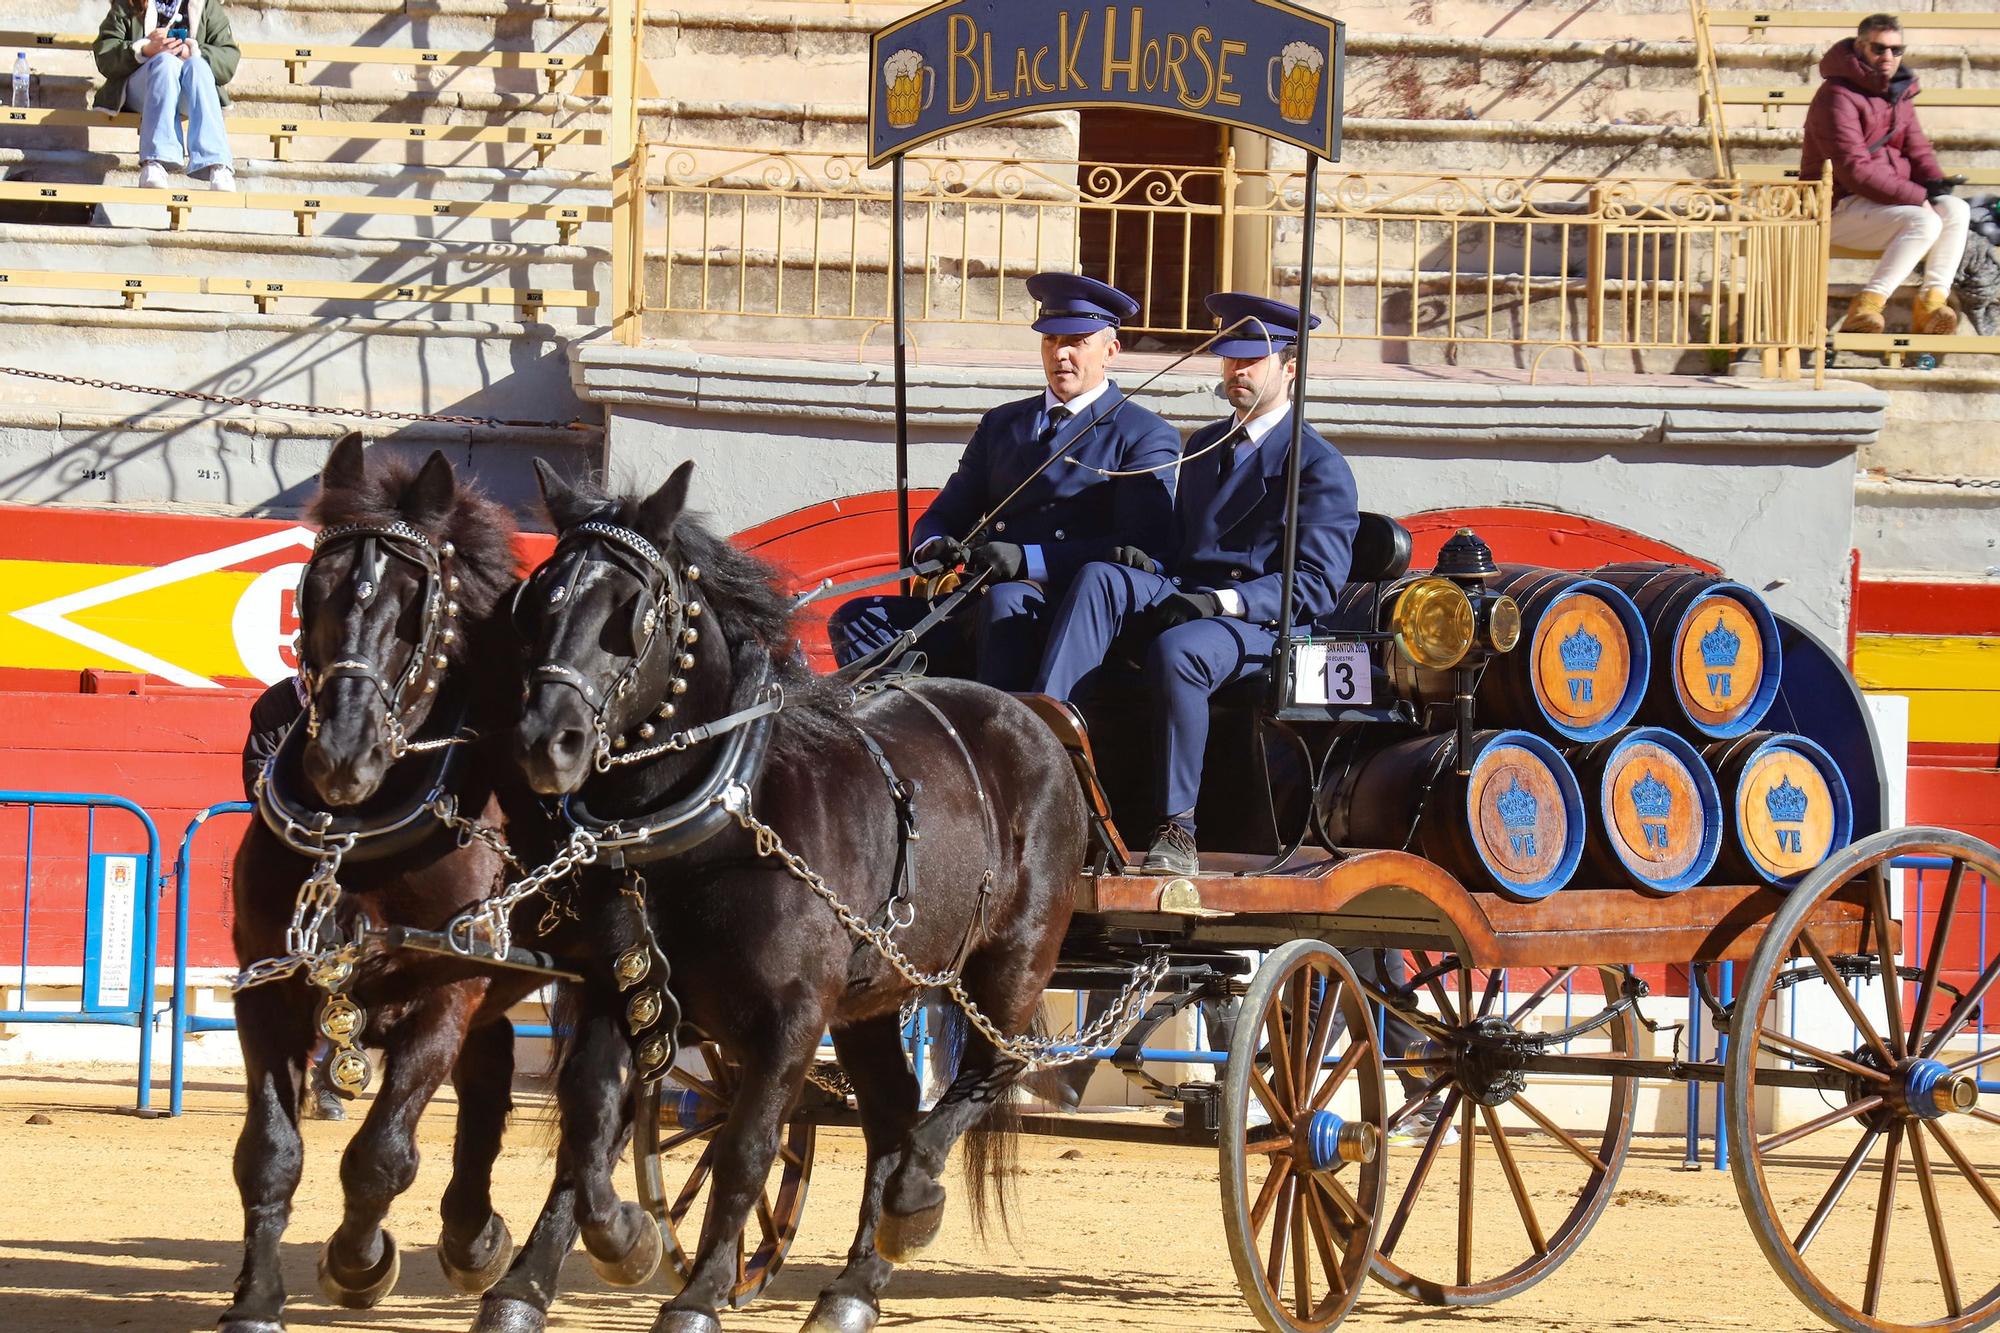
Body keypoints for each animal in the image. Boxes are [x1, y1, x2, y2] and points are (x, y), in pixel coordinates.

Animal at [226, 434, 564, 1320]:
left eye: (421, 602)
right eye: (314, 586)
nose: (342, 755)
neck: (360, 840)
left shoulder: (447, 989)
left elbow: (381, 1154)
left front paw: (357, 1260)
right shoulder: (268, 982)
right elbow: (269, 1150)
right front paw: (255, 1298)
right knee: (490, 1080)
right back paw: (473, 1233)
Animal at [476, 462, 1088, 1328]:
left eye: (632, 610)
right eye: (540, 600)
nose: (544, 740)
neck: (712, 821)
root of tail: (1029, 716)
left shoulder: (790, 1019)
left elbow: (747, 1147)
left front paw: (700, 1291)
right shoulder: (616, 990)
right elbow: (589, 1124)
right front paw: (589, 1254)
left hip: (1014, 959)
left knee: (985, 1074)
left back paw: (912, 1201)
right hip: (874, 994)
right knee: (894, 1111)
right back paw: (854, 1287)